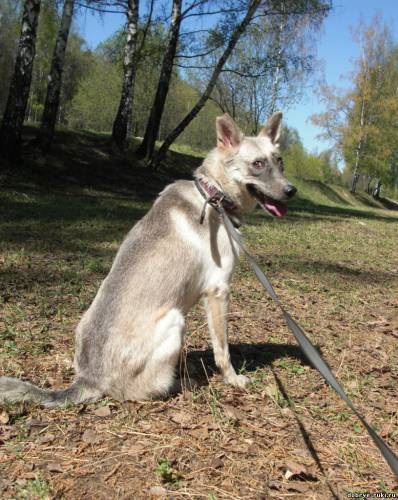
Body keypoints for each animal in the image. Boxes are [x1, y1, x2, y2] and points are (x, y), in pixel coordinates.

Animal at [0, 112, 296, 406]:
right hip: (175, 320)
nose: (292, 191)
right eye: (258, 164)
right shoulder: (218, 291)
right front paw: (232, 378)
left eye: (280, 161)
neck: (214, 194)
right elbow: (222, 349)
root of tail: (90, 379)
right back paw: (184, 382)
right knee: (146, 390)